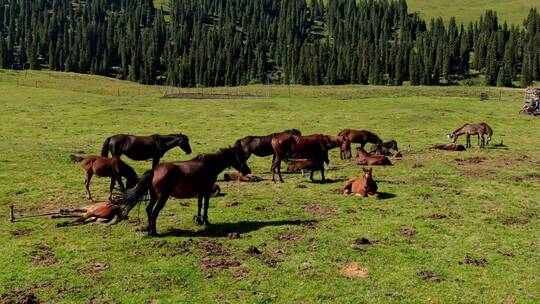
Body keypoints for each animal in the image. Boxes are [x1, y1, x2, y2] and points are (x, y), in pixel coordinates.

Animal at [116, 147, 251, 235]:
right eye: (240, 157)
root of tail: (154, 171)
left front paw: (199, 220)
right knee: (154, 212)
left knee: (149, 210)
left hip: (154, 197)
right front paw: (206, 221)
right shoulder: (207, 190)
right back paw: (153, 232)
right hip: (162, 198)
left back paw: (149, 228)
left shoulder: (200, 191)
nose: (247, 170)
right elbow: (206, 205)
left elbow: (200, 205)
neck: (209, 164)